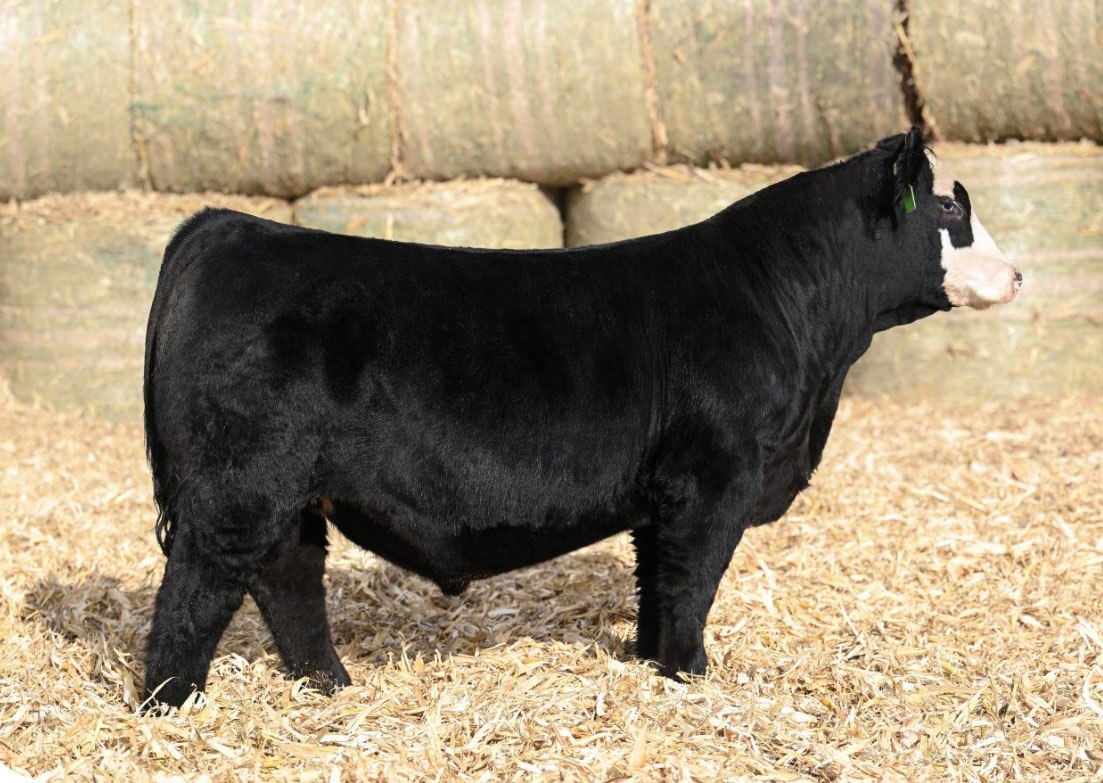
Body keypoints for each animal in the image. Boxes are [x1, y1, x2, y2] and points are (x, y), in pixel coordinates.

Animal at [141, 128, 1020, 709]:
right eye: (948, 207)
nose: (1015, 274)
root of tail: (229, 224)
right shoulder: (713, 477)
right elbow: (691, 579)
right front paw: (690, 673)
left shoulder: (663, 493)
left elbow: (656, 580)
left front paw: (652, 661)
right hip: (240, 484)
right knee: (196, 590)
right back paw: (170, 704)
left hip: (287, 492)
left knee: (287, 577)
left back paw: (328, 684)